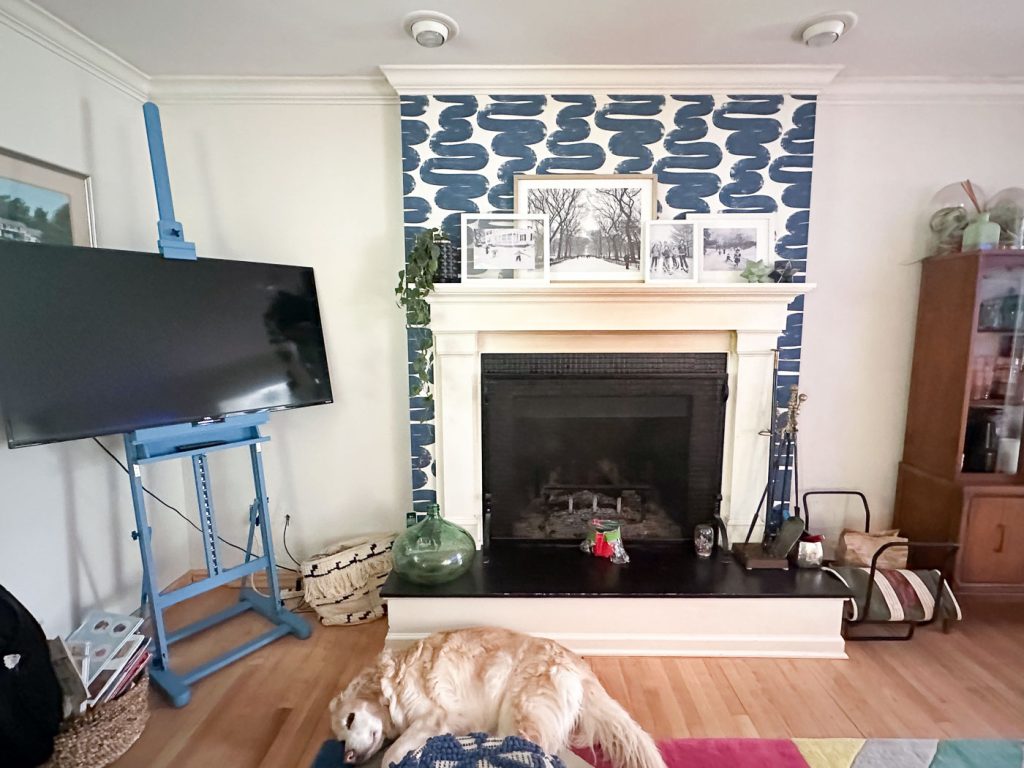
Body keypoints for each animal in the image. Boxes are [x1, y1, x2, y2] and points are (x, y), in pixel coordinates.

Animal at [327, 626, 663, 765]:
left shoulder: (433, 718)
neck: (392, 682)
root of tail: (574, 661)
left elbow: (393, 755)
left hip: (519, 715)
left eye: (351, 718)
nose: (347, 758)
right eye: (340, 739)